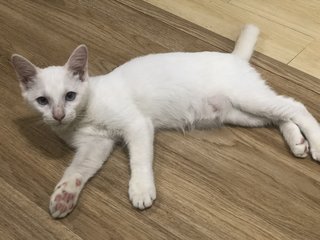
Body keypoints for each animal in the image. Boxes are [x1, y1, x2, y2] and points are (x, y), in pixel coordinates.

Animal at [11, 24, 320, 219]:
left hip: (247, 98)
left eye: (70, 95)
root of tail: (234, 58)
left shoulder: (137, 125)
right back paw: (297, 142)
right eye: (42, 101)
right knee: (280, 116)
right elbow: (77, 170)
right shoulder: (96, 145)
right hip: (241, 114)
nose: (58, 115)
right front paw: (64, 196)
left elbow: (139, 160)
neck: (85, 115)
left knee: (295, 106)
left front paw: (141, 189)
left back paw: (315, 143)